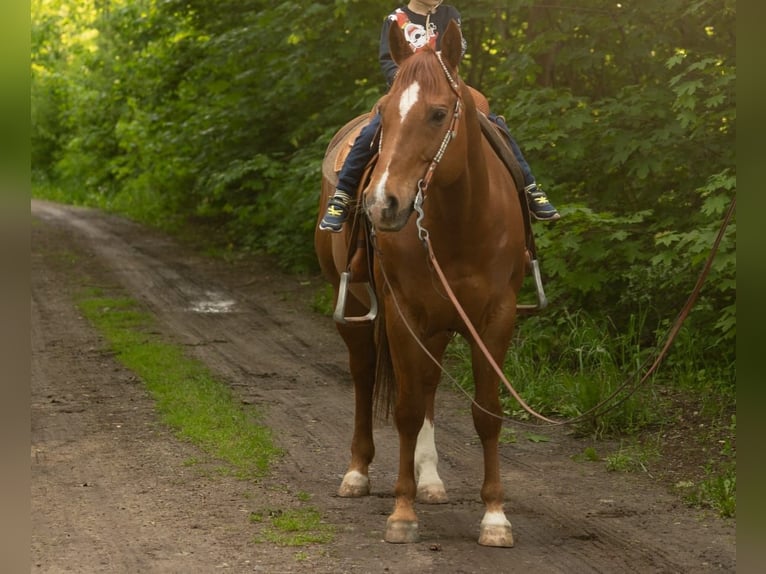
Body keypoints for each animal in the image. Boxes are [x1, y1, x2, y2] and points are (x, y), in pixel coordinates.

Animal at [314, 20, 525, 547]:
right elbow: (406, 410)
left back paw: (430, 479)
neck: (460, 223)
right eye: (385, 114)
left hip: (441, 322)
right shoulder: (403, 312)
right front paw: (402, 512)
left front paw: (495, 516)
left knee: (429, 382)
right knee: (365, 375)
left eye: (438, 113)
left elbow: (486, 412)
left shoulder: (495, 317)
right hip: (360, 311)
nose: (383, 204)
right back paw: (358, 473)